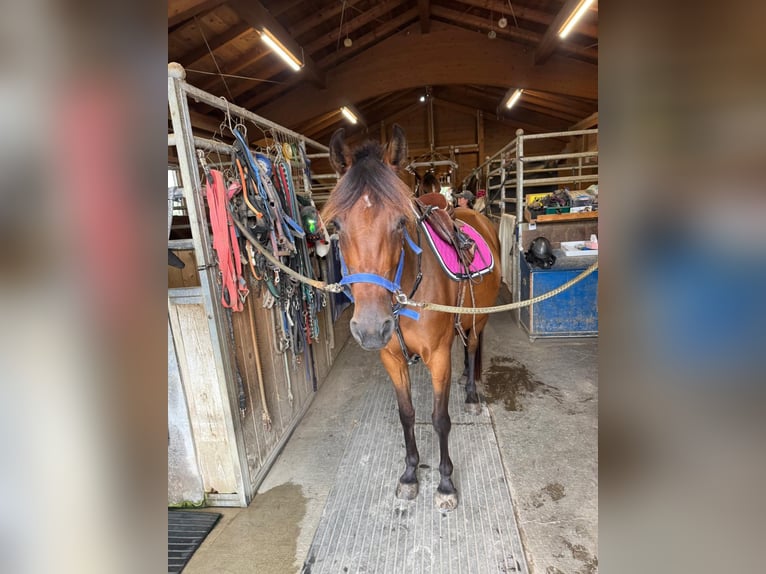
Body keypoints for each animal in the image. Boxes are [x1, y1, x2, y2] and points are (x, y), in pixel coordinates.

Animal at [322, 124, 501, 511]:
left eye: (400, 222)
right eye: (337, 226)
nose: (371, 328)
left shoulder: (439, 358)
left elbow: (439, 419)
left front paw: (446, 483)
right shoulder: (391, 358)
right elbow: (407, 416)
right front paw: (409, 474)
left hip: (479, 319)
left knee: (472, 345)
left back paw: (471, 393)